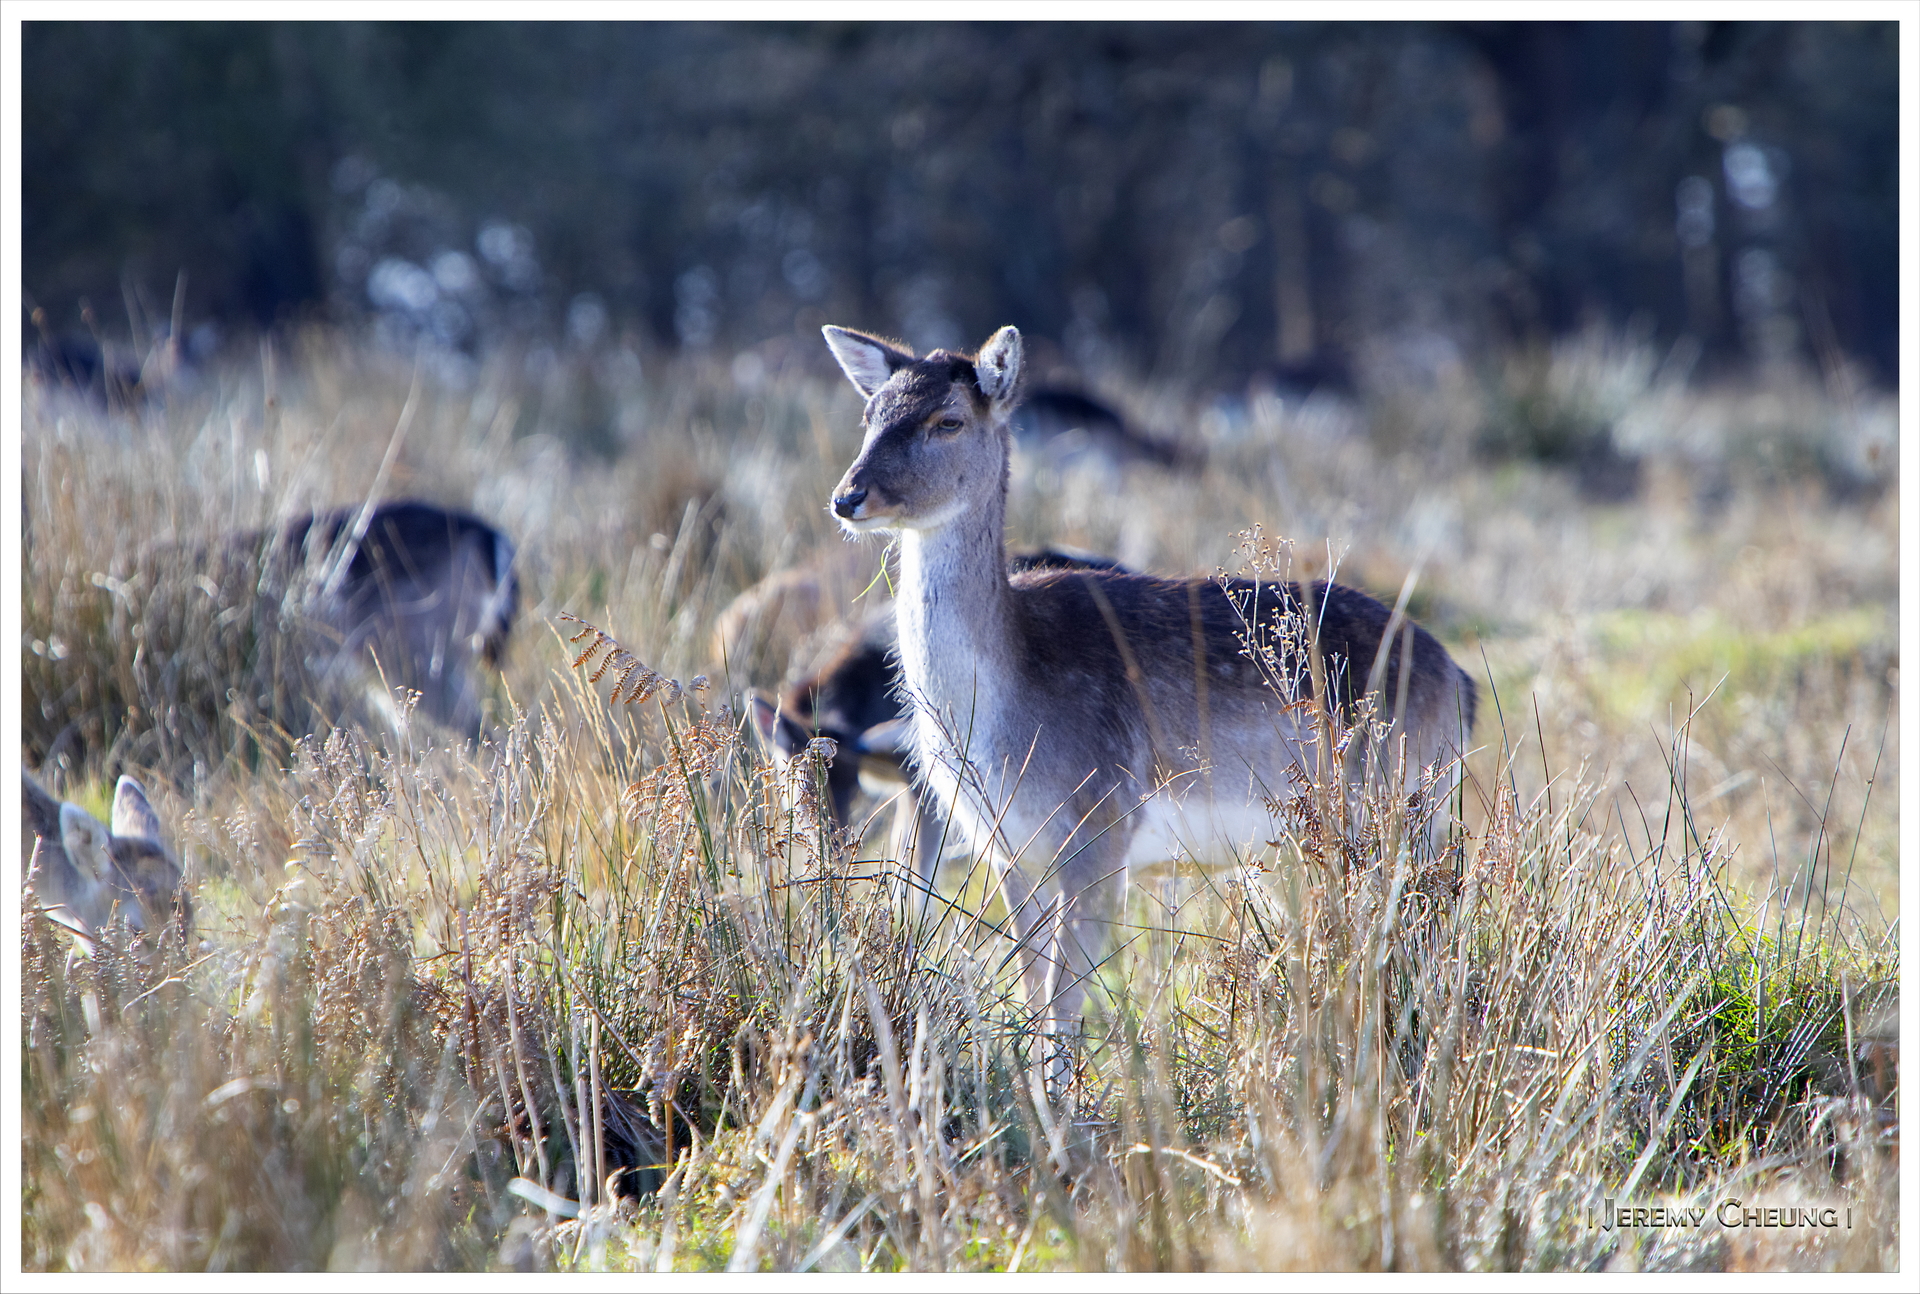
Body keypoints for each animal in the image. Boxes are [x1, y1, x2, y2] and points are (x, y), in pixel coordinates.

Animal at [820, 323, 1475, 1089]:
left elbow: (1068, 996)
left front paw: (1062, 1101)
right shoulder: (1008, 847)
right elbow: (1033, 983)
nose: (849, 496)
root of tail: (1459, 679)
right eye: (870, 414)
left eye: (947, 421)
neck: (1002, 732)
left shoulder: (1103, 823)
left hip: (1403, 806)